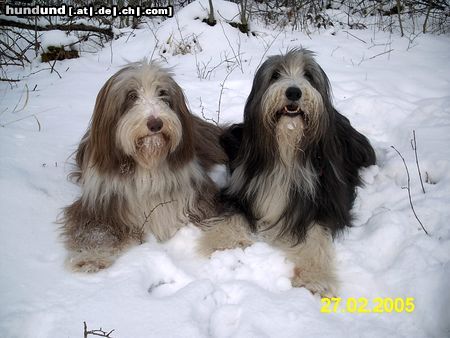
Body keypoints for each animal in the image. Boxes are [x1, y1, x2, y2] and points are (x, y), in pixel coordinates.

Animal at [61, 61, 227, 272]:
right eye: (132, 95)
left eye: (162, 93)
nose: (156, 123)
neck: (147, 162)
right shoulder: (99, 204)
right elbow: (96, 231)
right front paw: (92, 258)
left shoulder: (196, 193)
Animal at [200, 48, 376, 296]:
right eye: (275, 75)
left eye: (308, 75)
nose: (293, 91)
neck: (287, 151)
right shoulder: (242, 189)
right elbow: (233, 214)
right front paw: (222, 242)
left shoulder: (327, 203)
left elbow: (315, 234)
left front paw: (314, 278)